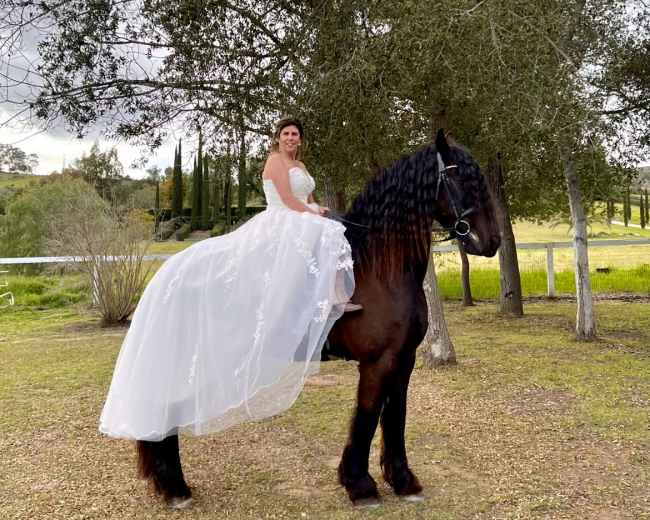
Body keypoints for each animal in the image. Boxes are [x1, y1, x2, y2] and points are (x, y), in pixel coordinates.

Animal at [135, 129, 500, 508]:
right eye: (460, 177)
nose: (491, 241)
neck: (378, 270)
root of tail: (167, 275)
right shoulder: (377, 362)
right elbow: (368, 415)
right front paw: (360, 485)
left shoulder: (403, 359)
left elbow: (395, 416)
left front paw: (402, 480)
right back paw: (175, 488)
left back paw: (170, 485)